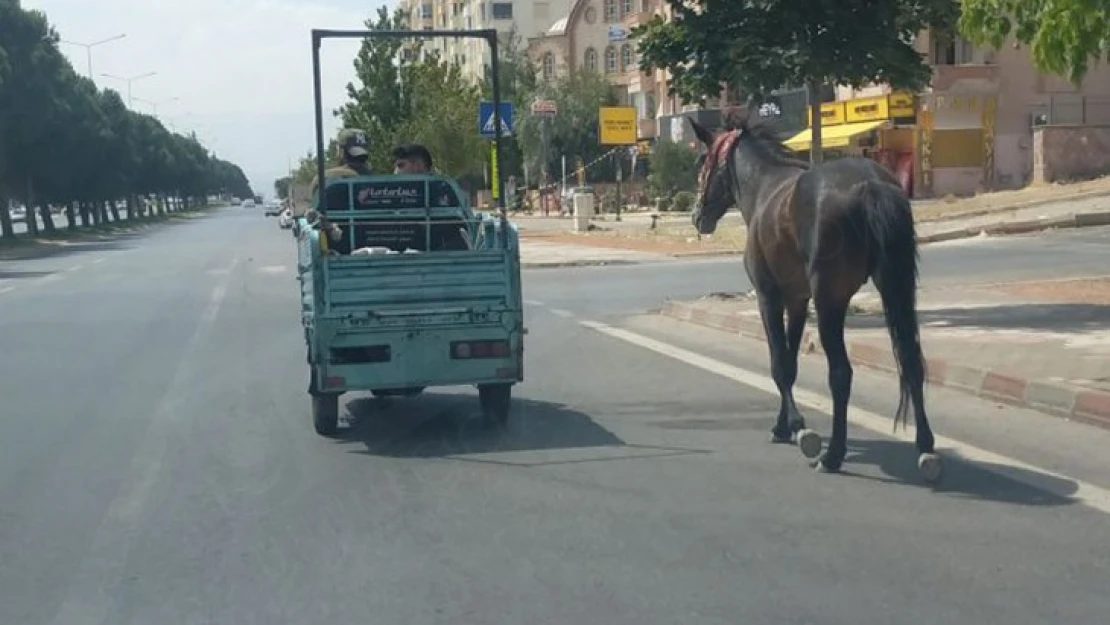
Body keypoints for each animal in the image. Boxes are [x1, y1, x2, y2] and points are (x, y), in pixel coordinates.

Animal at [688, 113, 941, 484]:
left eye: (704, 161)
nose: (697, 216)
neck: (763, 187)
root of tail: (870, 186)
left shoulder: (769, 296)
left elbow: (780, 364)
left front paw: (797, 428)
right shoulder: (797, 300)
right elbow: (791, 363)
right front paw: (784, 426)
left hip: (829, 301)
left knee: (841, 373)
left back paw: (833, 453)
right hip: (895, 287)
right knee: (910, 360)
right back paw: (925, 448)